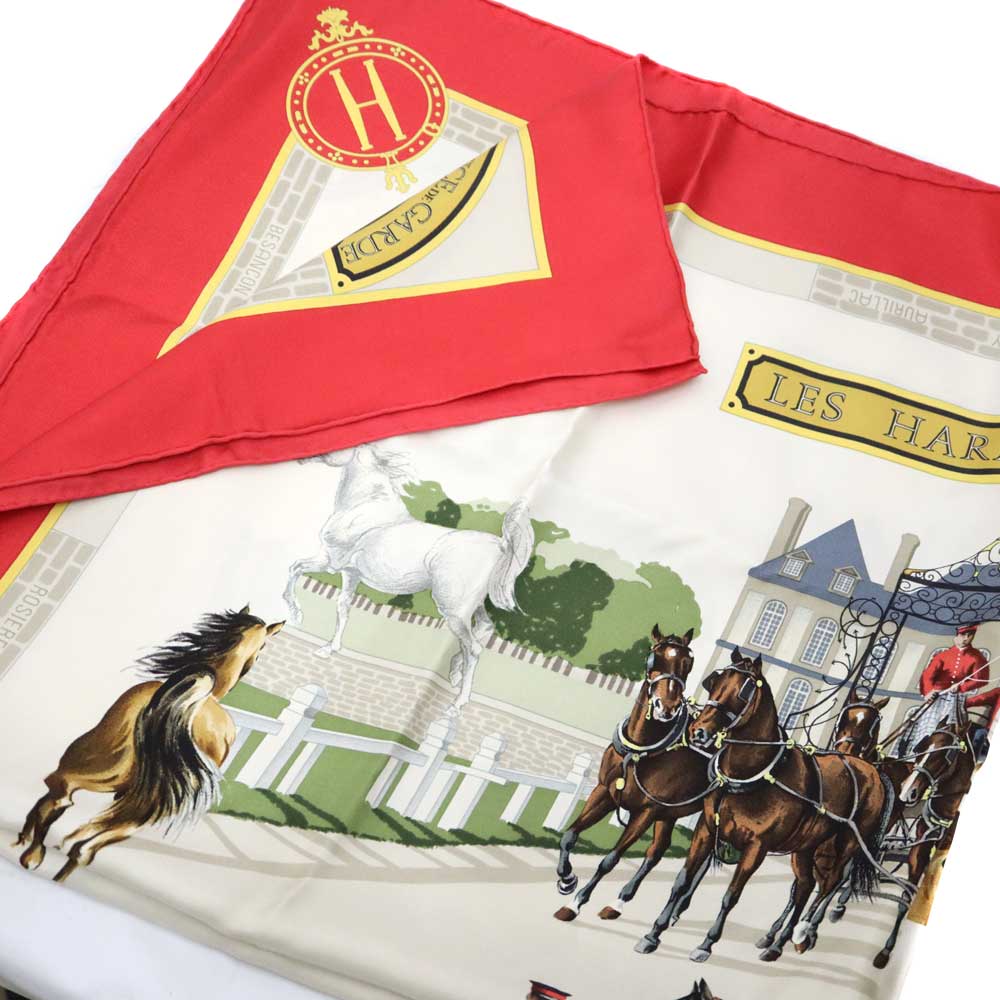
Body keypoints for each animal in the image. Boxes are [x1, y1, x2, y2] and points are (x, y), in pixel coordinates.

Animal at [15, 607, 283, 882]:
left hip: (113, 776)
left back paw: (34, 854)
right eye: (262, 648)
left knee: (70, 813)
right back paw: (36, 854)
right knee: (80, 824)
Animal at [284, 445, 534, 710]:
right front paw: (329, 649)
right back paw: (454, 673)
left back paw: (457, 703)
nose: (303, 457)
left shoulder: (331, 562)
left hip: (452, 611)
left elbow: (294, 569)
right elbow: (343, 608)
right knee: (484, 628)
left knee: (474, 648)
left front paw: (296, 615)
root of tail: (501, 545)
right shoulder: (351, 573)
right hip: (471, 606)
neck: (364, 506)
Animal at [552, 625, 712, 923]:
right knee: (657, 851)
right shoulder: (604, 792)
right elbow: (569, 836)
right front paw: (567, 880)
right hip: (671, 813)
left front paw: (576, 903)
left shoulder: (646, 811)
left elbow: (610, 859)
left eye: (688, 663)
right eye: (654, 658)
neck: (643, 750)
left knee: (700, 861)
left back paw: (675, 909)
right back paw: (621, 901)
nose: (667, 708)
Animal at [635, 649, 890, 963]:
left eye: (744, 690)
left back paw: (803, 933)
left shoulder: (757, 847)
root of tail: (869, 768)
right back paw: (775, 943)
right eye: (714, 680)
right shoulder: (706, 830)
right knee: (804, 887)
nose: (699, 732)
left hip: (846, 844)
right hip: (805, 847)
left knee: (830, 884)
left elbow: (731, 895)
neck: (753, 773)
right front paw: (653, 933)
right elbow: (683, 880)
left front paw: (706, 944)